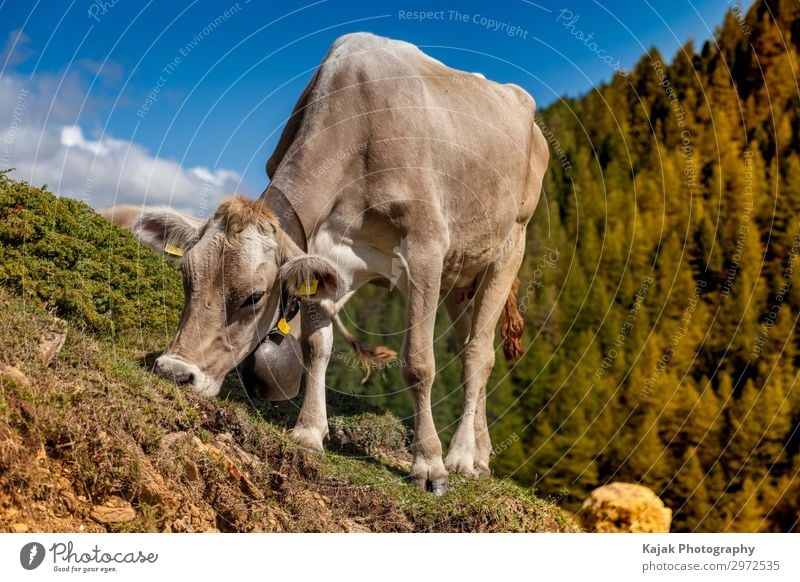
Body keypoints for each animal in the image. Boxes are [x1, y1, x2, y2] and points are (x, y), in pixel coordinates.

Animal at [131, 33, 552, 498]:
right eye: (187, 277)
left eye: (253, 296)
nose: (175, 372)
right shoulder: (326, 254)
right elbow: (317, 346)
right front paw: (309, 431)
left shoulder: (425, 247)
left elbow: (418, 363)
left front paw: (429, 465)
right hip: (462, 274)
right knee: (468, 352)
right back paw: (481, 453)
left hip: (510, 245)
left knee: (478, 356)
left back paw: (461, 456)